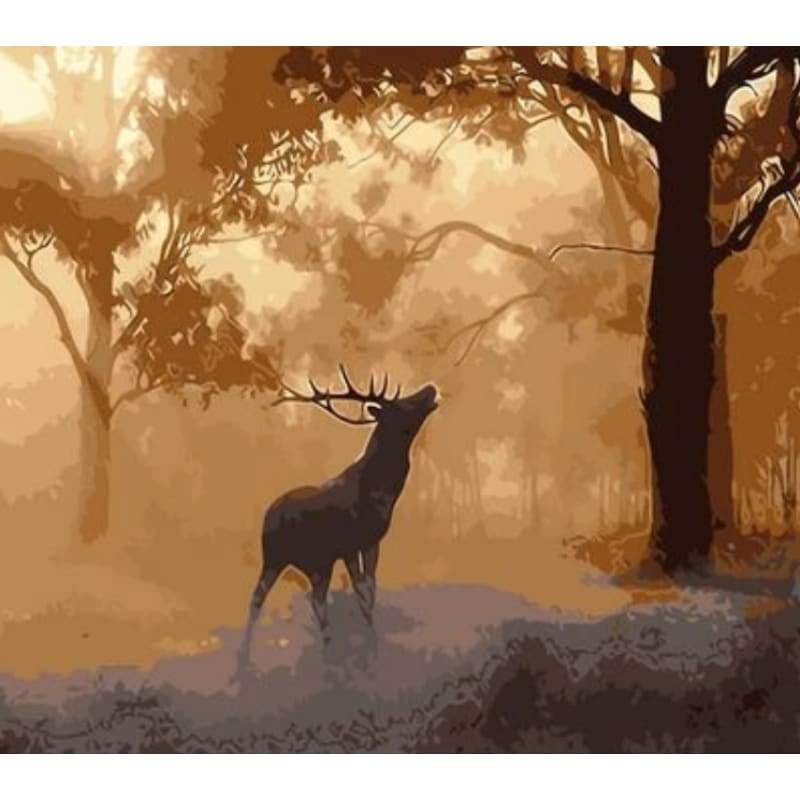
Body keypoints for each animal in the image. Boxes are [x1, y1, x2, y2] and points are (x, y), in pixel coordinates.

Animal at [237, 364, 439, 672]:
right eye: (402, 404)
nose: (430, 387)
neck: (382, 493)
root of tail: (270, 516)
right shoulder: (351, 543)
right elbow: (363, 593)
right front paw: (371, 649)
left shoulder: (371, 541)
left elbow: (370, 589)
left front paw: (371, 645)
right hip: (291, 557)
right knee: (292, 599)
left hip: (296, 560)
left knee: (278, 598)